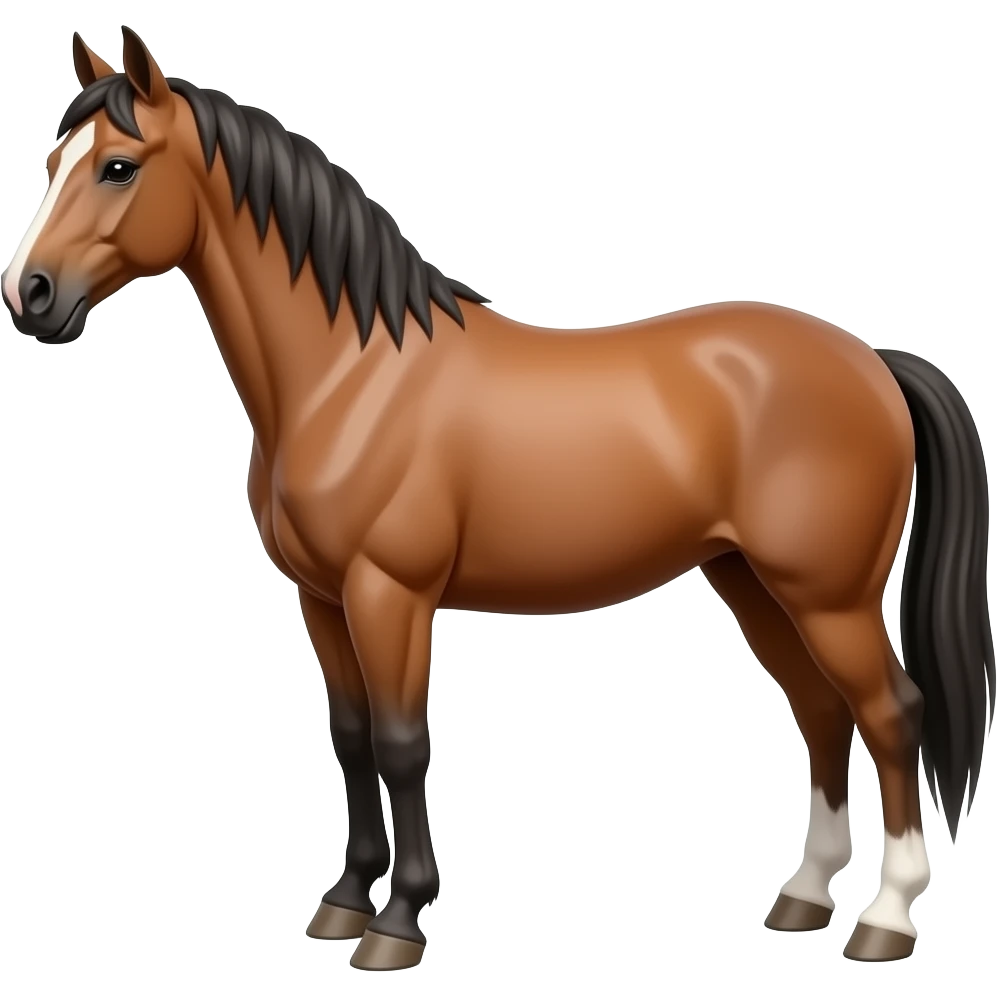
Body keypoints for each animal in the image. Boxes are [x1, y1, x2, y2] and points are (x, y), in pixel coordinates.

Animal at [3, 27, 992, 972]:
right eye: (53, 162)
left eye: (118, 166)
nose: (29, 294)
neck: (350, 376)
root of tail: (871, 361)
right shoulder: (322, 599)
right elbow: (351, 737)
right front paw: (344, 900)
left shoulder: (389, 594)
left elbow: (403, 744)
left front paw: (396, 923)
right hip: (751, 582)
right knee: (822, 712)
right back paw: (802, 897)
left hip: (829, 597)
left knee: (890, 714)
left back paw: (884, 917)